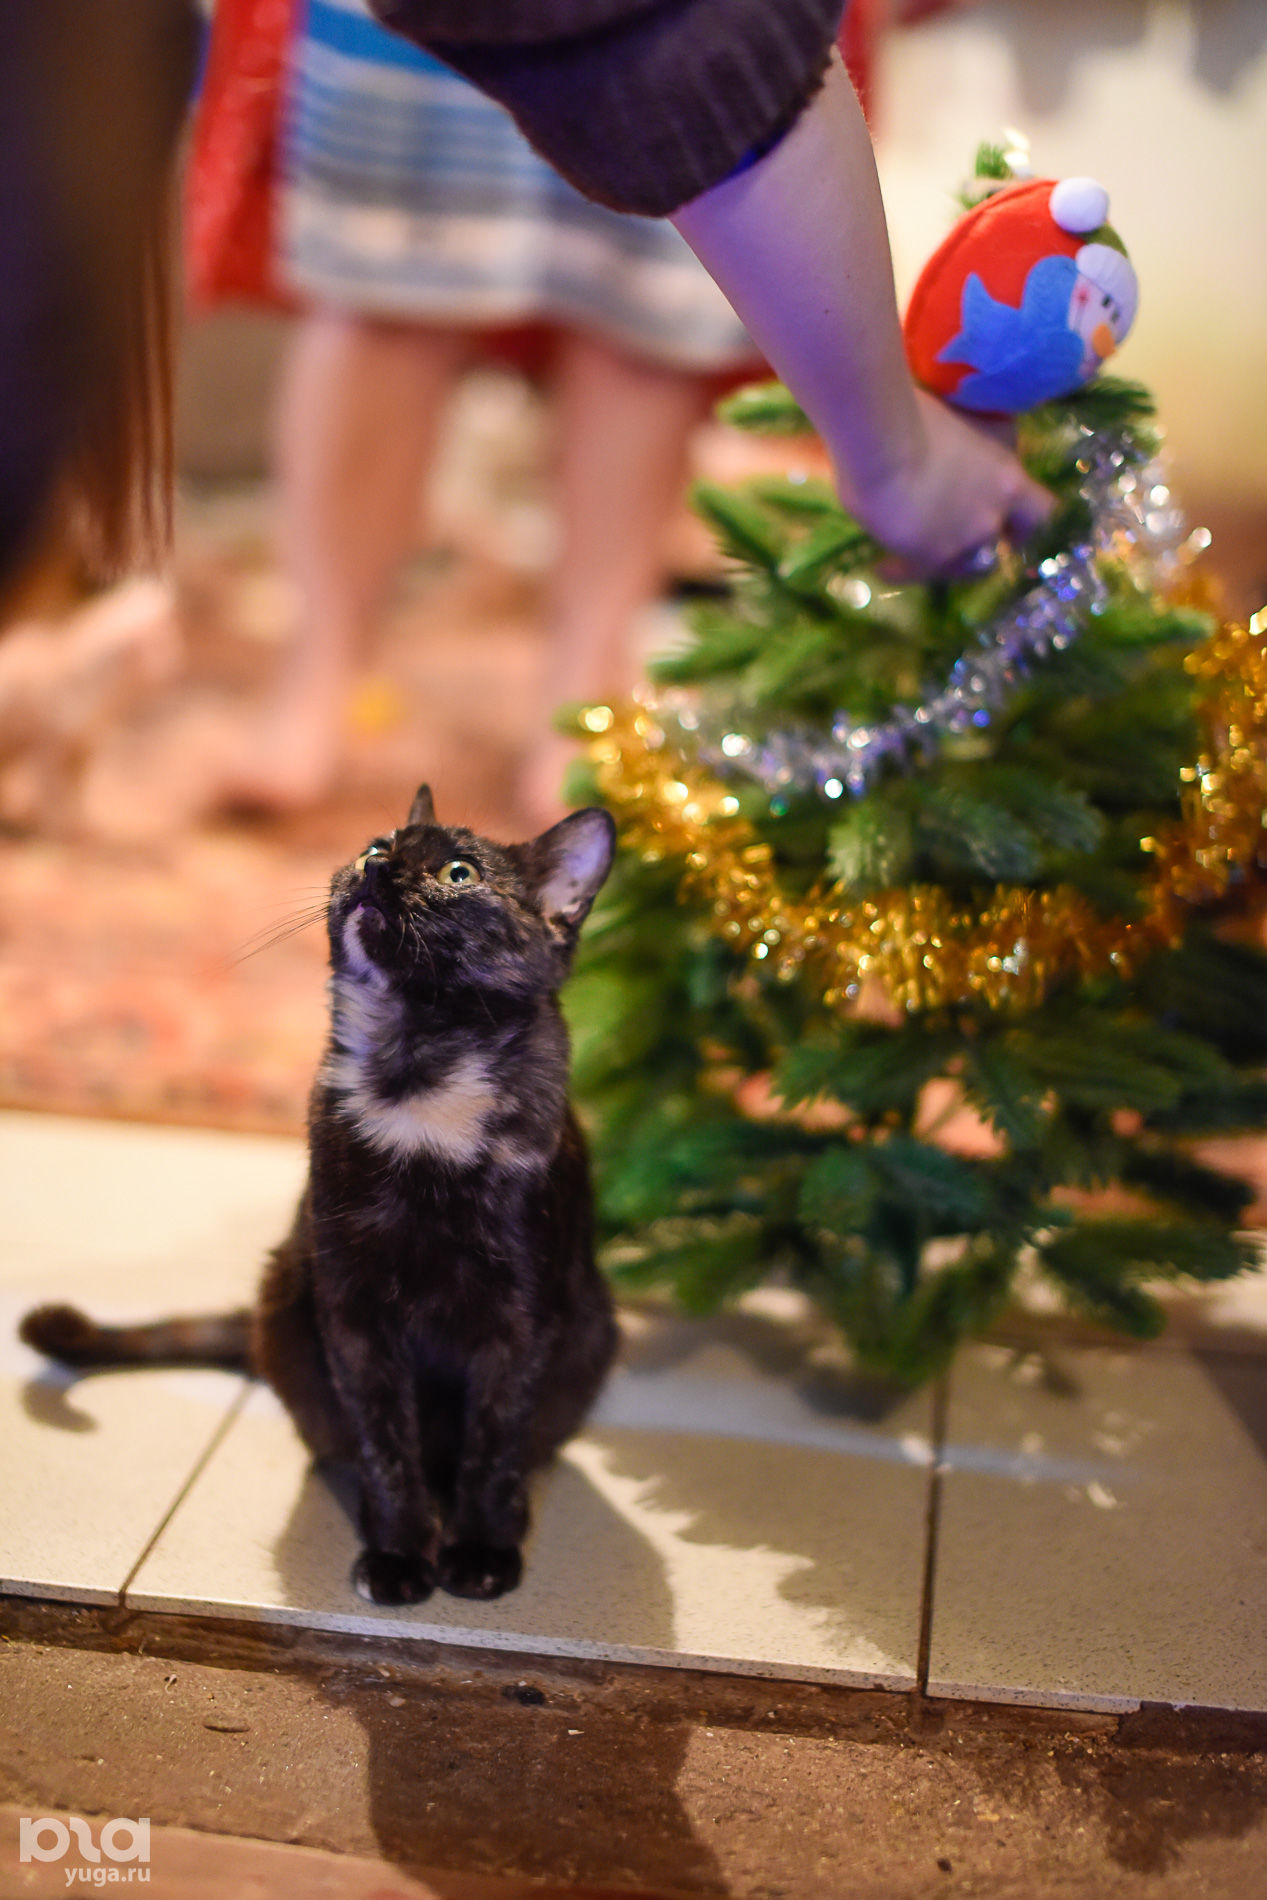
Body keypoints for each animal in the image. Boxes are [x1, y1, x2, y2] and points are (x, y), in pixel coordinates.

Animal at [20, 784, 619, 1606]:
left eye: (459, 873)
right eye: (376, 844)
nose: (379, 869)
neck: (418, 1079)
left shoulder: (522, 1319)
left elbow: (493, 1445)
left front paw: (480, 1551)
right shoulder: (352, 1307)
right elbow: (386, 1444)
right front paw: (397, 1555)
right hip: (288, 1293)